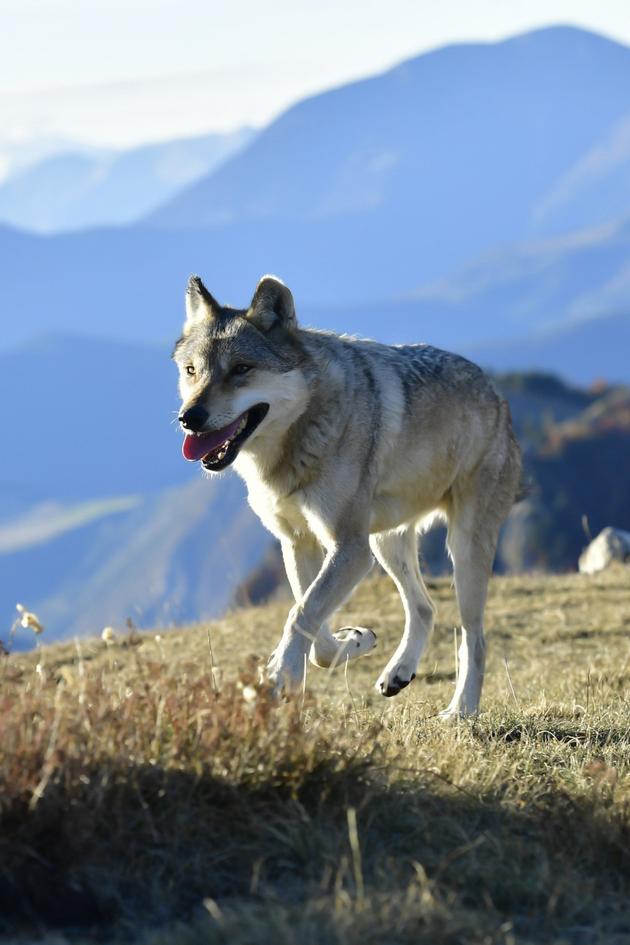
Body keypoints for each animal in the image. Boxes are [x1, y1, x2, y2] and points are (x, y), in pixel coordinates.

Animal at [173, 274, 522, 717]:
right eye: (192, 371)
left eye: (241, 369)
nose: (189, 418)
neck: (298, 438)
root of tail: (496, 394)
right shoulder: (300, 543)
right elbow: (313, 629)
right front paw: (353, 641)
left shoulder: (349, 548)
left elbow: (299, 613)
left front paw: (277, 679)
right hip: (386, 545)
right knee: (425, 609)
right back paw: (399, 673)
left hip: (459, 549)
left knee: (474, 639)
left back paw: (460, 711)